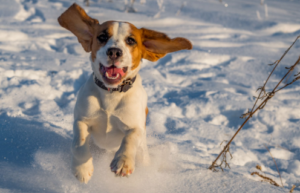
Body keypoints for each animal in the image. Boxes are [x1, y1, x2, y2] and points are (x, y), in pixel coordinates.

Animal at [58, 3, 192, 184]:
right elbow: (79, 141)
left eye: (131, 40)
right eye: (102, 37)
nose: (114, 52)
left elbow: (130, 138)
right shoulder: (82, 119)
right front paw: (82, 168)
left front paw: (123, 163)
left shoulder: (136, 125)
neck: (112, 93)